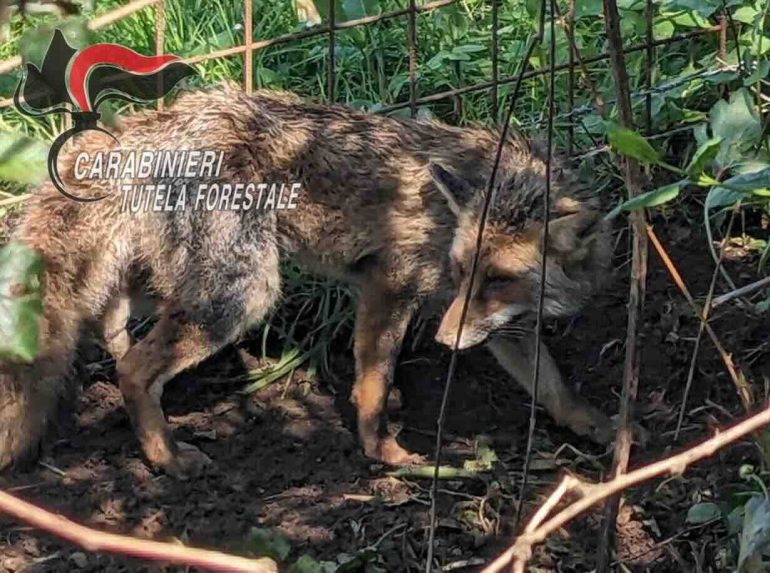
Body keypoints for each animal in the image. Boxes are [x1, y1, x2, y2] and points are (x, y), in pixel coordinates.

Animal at [0, 84, 613, 478]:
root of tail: (167, 117)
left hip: (180, 279)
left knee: (112, 318)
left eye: (499, 279)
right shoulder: (391, 283)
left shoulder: (496, 320)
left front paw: (597, 427)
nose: (442, 341)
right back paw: (166, 459)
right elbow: (374, 382)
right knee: (133, 369)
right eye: (463, 270)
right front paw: (381, 451)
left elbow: (551, 383)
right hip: (242, 293)